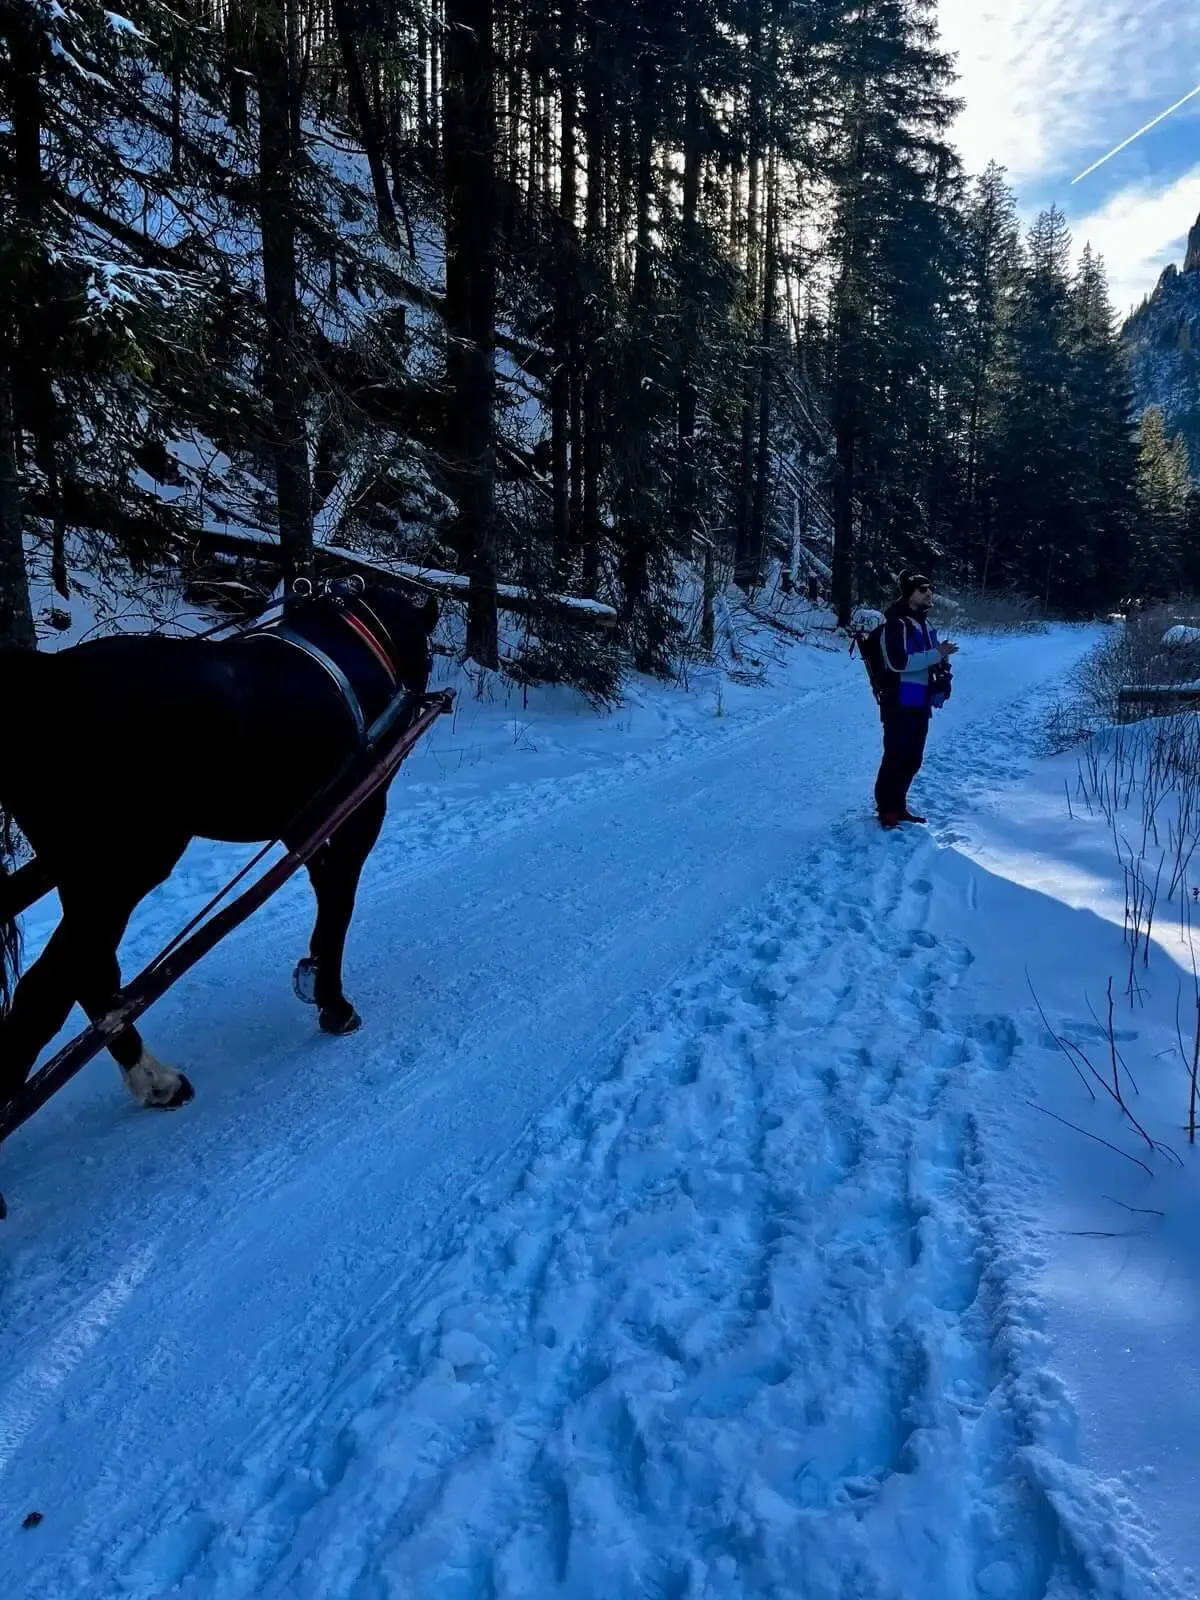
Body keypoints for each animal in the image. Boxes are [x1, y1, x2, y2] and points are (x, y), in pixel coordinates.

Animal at [0, 582, 441, 1120]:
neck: (367, 639)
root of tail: (44, 678)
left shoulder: (307, 819)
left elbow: (326, 892)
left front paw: (315, 980)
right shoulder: (359, 809)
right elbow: (339, 903)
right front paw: (334, 1004)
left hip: (81, 871)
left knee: (74, 977)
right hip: (124, 866)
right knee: (64, 979)